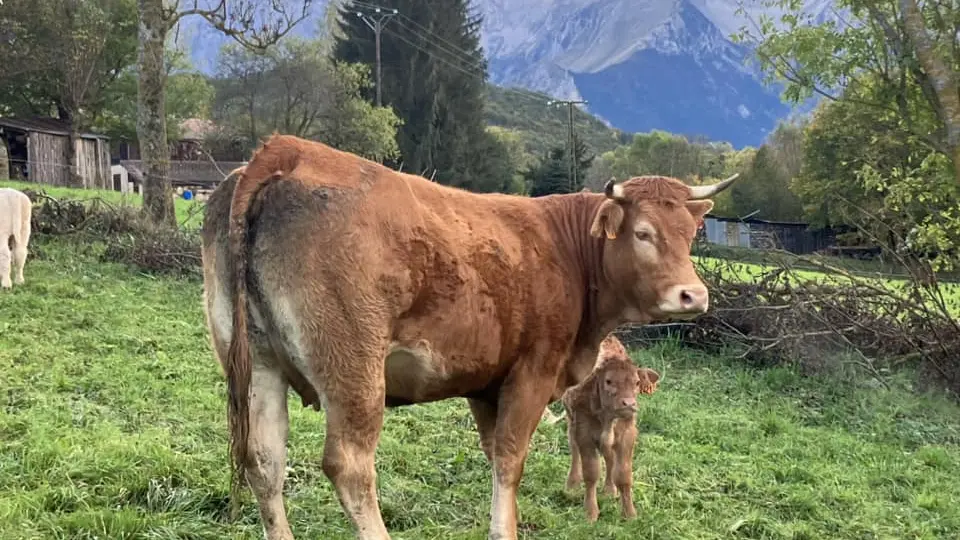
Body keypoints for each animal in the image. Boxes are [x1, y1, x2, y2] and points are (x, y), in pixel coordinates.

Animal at [564, 338, 660, 524]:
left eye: (637, 382)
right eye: (608, 381)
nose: (629, 404)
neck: (608, 417)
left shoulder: (627, 435)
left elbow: (623, 475)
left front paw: (630, 514)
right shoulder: (584, 434)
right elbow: (591, 473)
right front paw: (590, 513)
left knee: (609, 458)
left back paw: (609, 490)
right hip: (571, 422)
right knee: (574, 449)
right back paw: (572, 484)